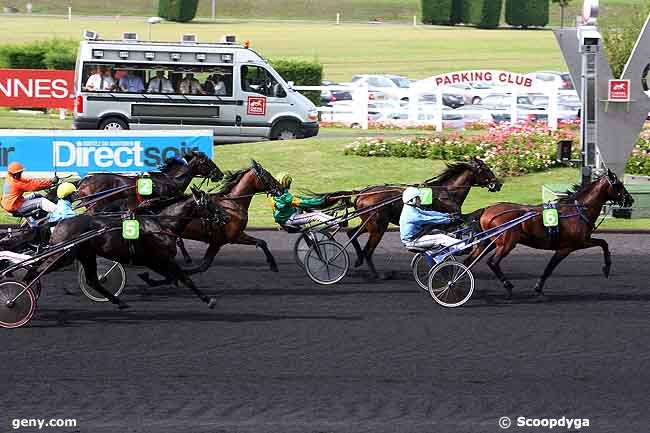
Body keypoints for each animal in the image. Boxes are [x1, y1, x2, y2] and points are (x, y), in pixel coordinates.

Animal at [24, 187, 227, 308]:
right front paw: (208, 300)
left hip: (86, 254)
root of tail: (59, 224)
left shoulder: (153, 260)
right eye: (210, 203)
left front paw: (148, 279)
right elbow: (185, 278)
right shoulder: (161, 258)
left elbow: (172, 278)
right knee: (36, 270)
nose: (225, 217)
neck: (160, 224)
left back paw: (119, 302)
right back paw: (24, 291)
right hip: (63, 256)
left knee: (92, 280)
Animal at [344, 157, 502, 278]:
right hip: (378, 226)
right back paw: (376, 274)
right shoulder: (448, 221)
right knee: (368, 250)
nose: (498, 184)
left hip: (369, 223)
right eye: (486, 169)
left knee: (352, 233)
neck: (447, 192)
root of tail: (362, 194)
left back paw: (358, 260)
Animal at [466, 170, 632, 300]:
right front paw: (538, 288)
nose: (630, 199)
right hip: (507, 242)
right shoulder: (569, 246)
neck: (577, 210)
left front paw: (607, 268)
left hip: (489, 242)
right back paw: (508, 286)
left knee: (470, 261)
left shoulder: (583, 241)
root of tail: (486, 209)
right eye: (619, 185)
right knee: (493, 262)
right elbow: (550, 267)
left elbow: (603, 242)